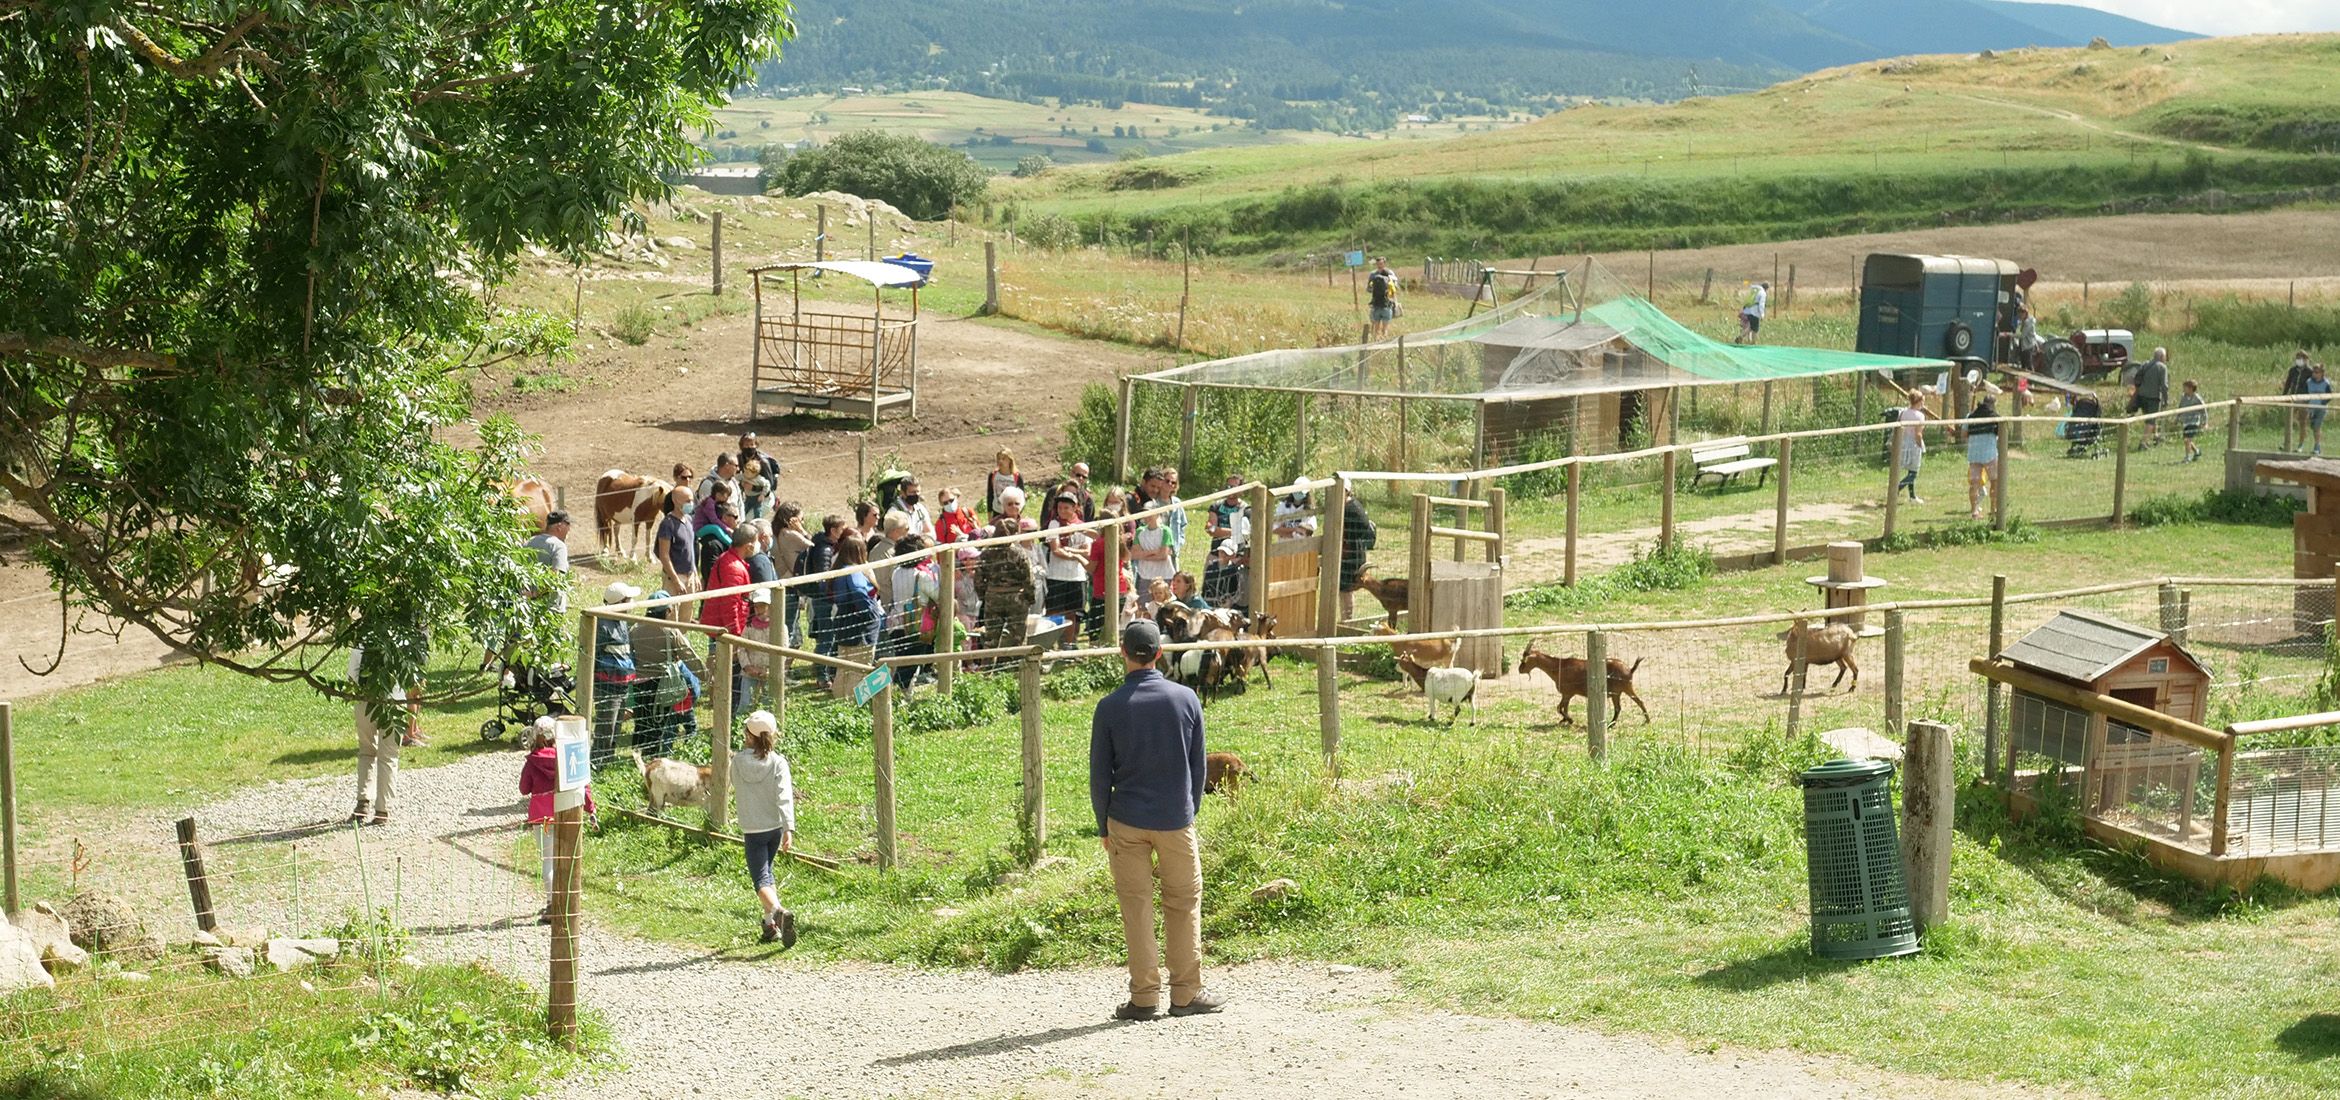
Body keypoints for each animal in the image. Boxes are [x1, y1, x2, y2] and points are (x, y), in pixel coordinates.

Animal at [1506, 641, 1656, 725]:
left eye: (1524, 660)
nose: (1520, 669)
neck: (1559, 666)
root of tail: (1629, 669)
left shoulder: (1567, 693)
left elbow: (1560, 708)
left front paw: (1569, 720)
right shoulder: (1566, 695)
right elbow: (1562, 708)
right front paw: (1565, 720)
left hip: (1625, 688)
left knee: (1637, 702)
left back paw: (1645, 720)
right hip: (1617, 692)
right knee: (1620, 707)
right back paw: (1613, 723)